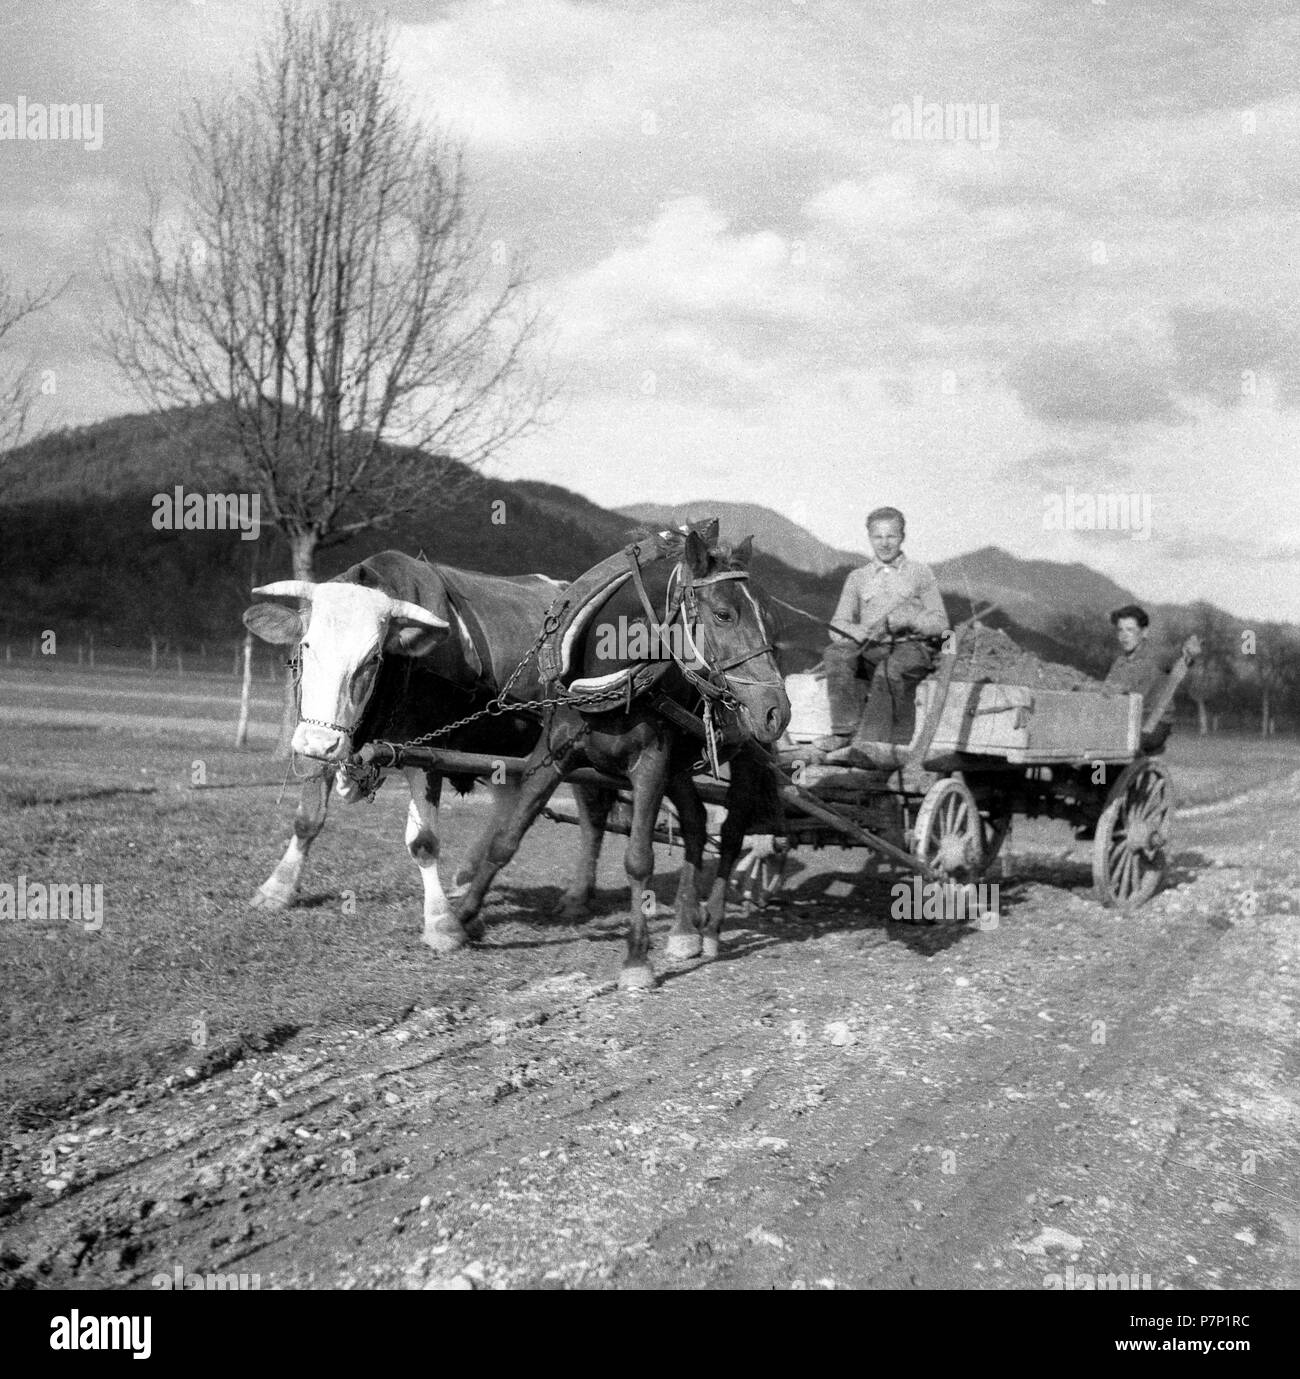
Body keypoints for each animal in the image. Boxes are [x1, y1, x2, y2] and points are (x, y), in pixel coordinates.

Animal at [441, 526, 788, 992]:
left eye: (767, 618)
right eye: (723, 615)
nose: (777, 710)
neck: (607, 677)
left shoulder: (650, 765)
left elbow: (639, 859)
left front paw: (637, 959)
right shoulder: (552, 756)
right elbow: (507, 838)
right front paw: (459, 920)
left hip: (745, 759)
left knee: (731, 835)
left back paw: (711, 928)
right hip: (679, 766)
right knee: (697, 824)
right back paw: (683, 929)